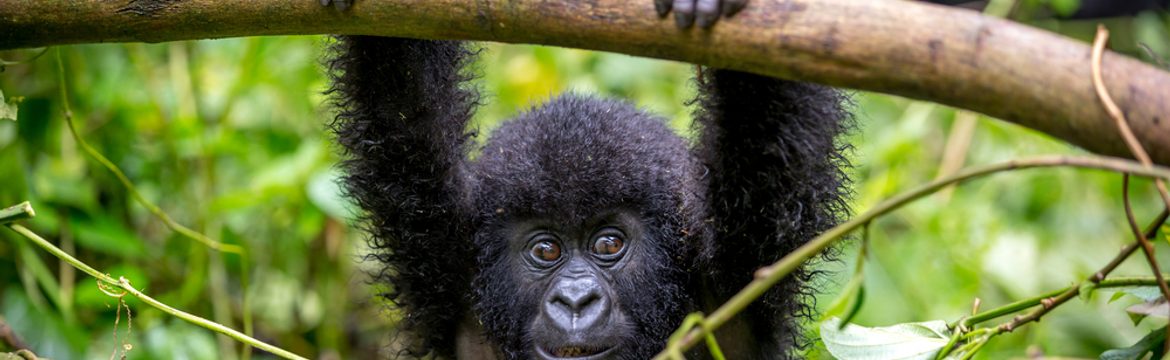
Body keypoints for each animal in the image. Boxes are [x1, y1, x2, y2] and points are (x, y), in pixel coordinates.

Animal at [325, 0, 856, 357]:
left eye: (608, 243)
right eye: (546, 250)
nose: (576, 301)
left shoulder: (741, 261)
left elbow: (769, 128)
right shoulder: (441, 251)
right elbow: (402, 107)